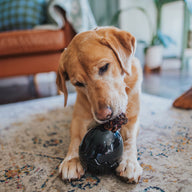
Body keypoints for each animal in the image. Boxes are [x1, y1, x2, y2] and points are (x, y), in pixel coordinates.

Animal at [56, 26, 142, 183]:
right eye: (78, 83)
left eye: (104, 67)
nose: (103, 115)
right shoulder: (78, 118)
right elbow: (76, 137)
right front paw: (71, 160)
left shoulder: (133, 119)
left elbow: (130, 140)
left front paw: (129, 162)